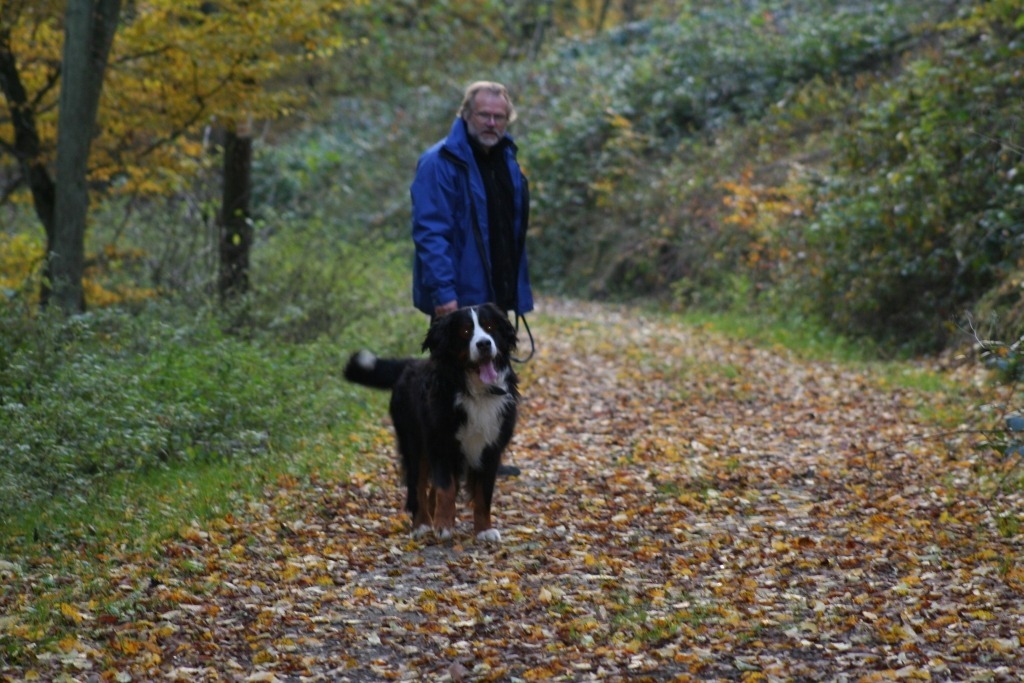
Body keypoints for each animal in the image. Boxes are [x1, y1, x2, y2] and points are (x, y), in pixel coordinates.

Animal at [344, 305, 520, 544]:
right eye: (465, 331)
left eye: (490, 326)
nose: (484, 343)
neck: (475, 391)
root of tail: (409, 364)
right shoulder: (441, 443)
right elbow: (446, 489)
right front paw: (443, 526)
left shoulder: (491, 448)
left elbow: (483, 494)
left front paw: (484, 529)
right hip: (414, 444)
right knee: (417, 486)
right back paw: (422, 524)